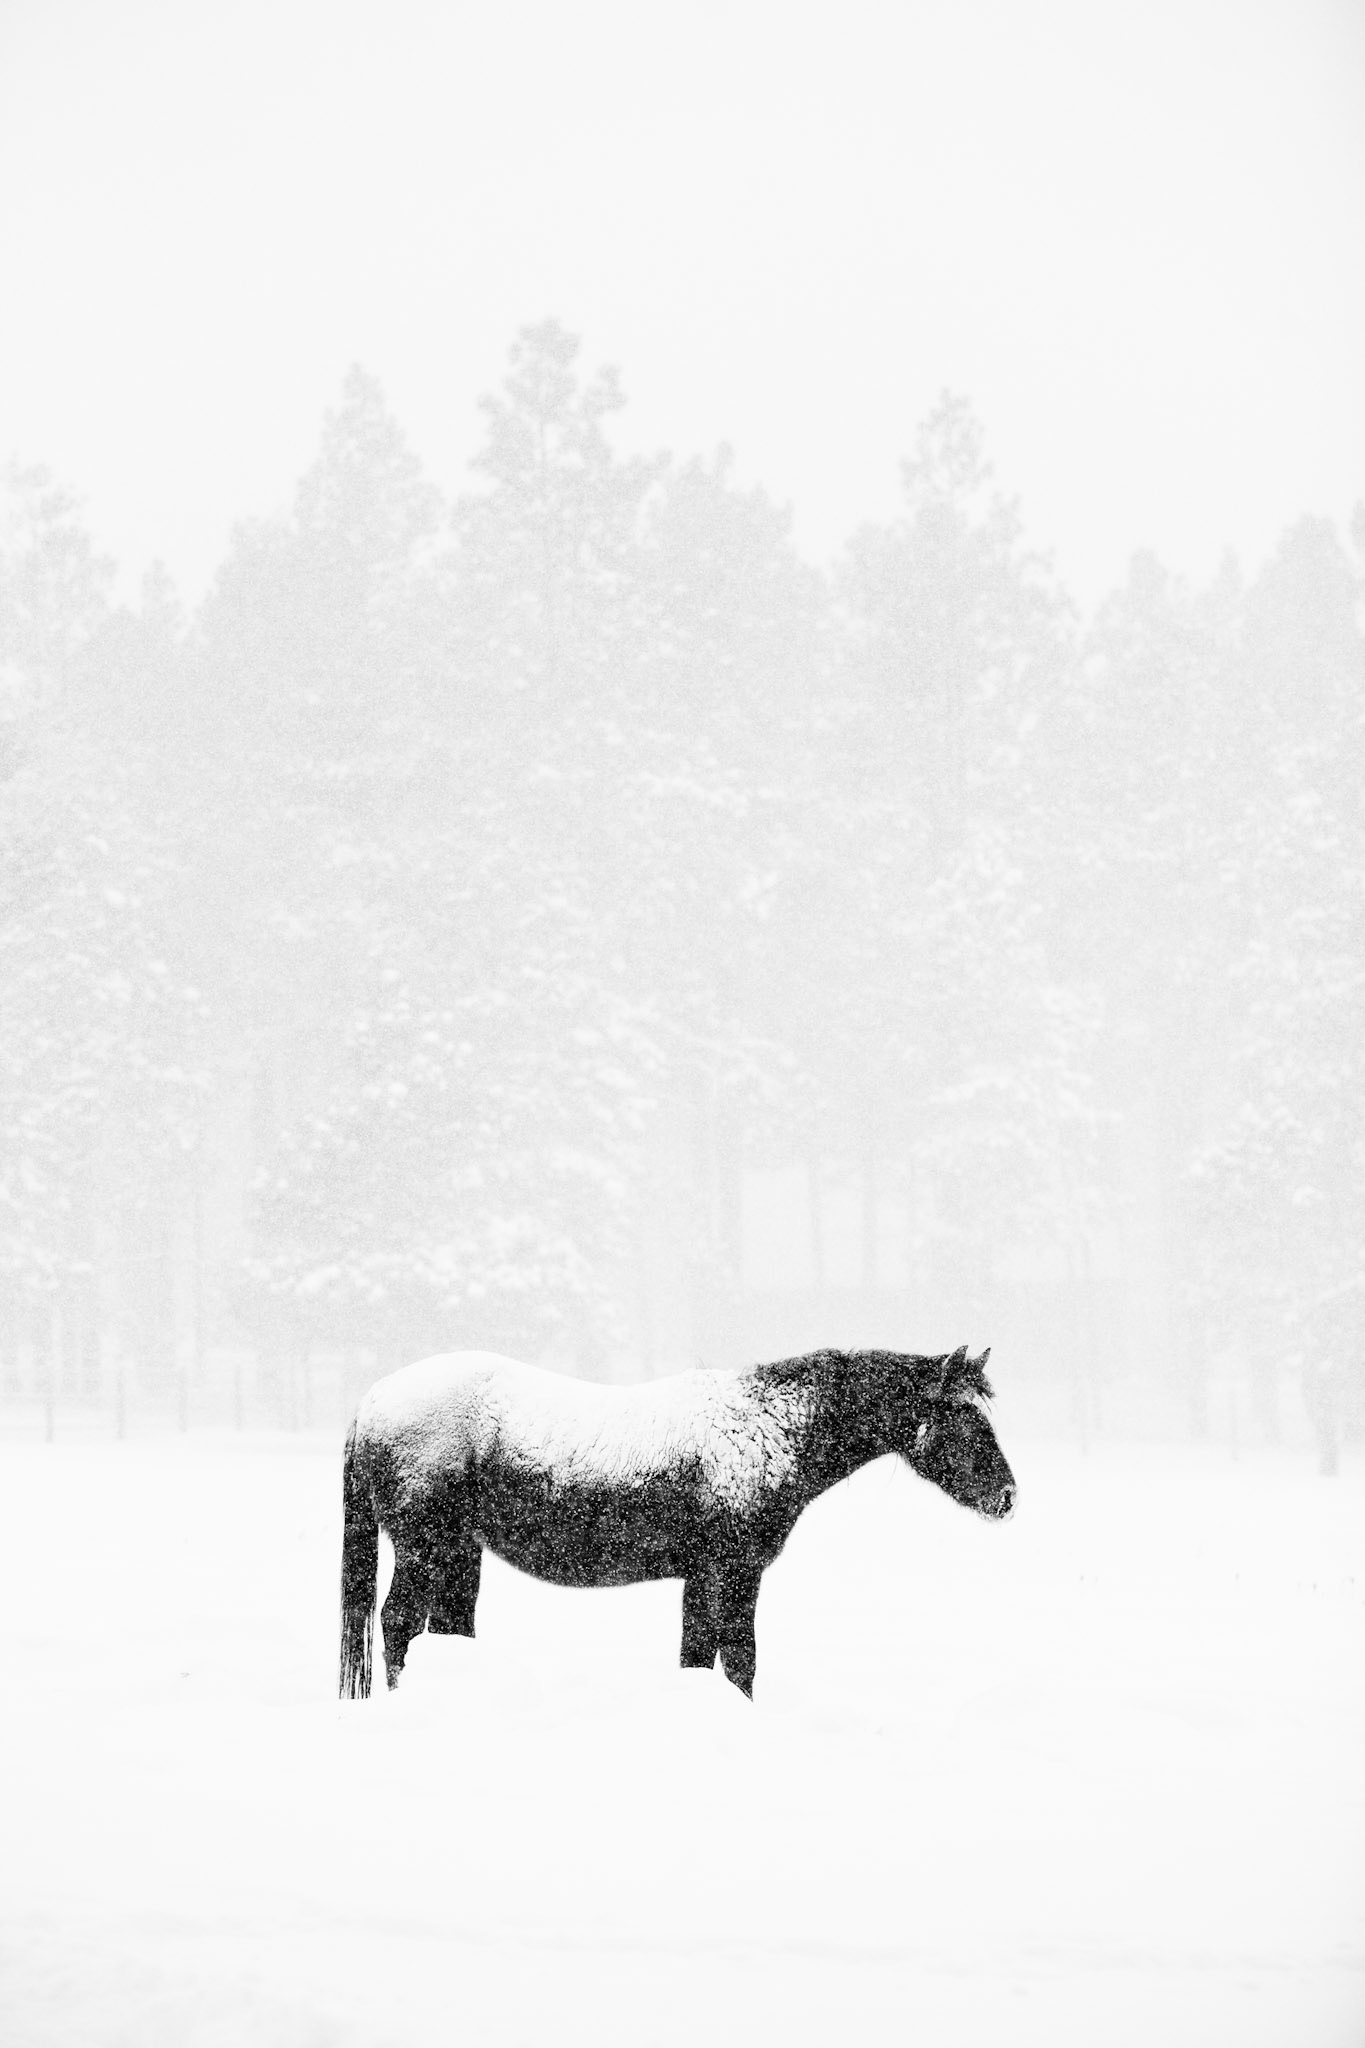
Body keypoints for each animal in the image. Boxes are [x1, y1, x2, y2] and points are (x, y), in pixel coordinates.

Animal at [339, 1343, 1015, 1701]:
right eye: (962, 1417)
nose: (1009, 1495)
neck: (768, 1428)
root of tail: (372, 1402)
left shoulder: (701, 1576)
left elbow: (697, 1655)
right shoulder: (734, 1572)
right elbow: (738, 1659)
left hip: (456, 1552)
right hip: (425, 1547)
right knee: (397, 1623)